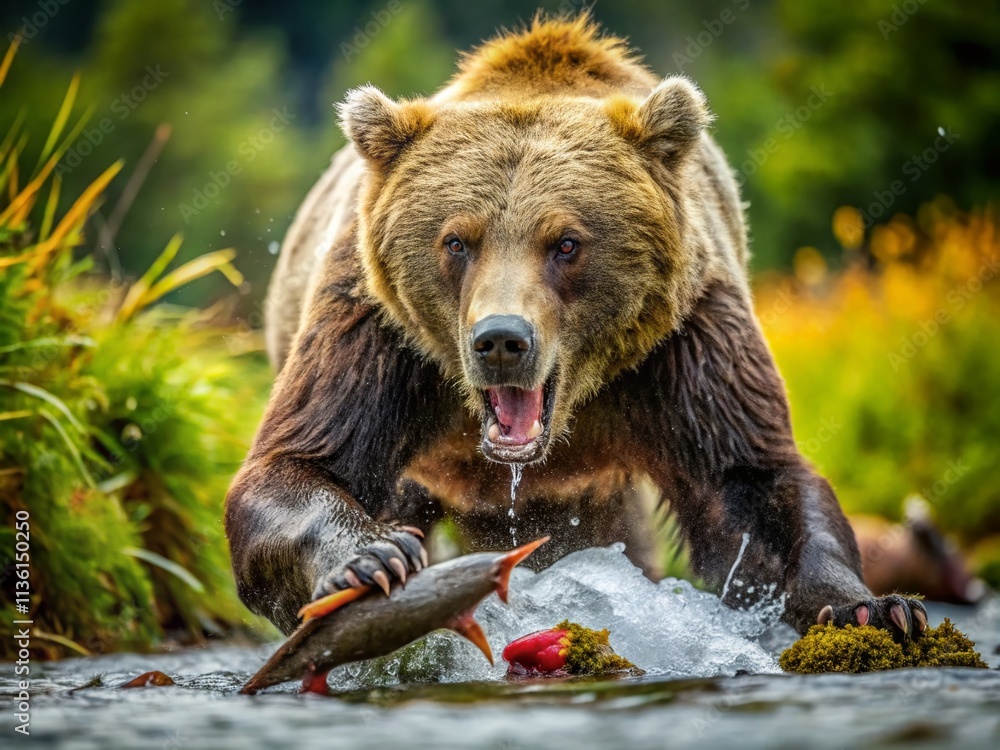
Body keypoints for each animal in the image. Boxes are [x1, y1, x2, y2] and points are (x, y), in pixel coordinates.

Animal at [226, 14, 927, 641]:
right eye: (455, 240)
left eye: (566, 242)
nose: (501, 341)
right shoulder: (378, 329)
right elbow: (295, 462)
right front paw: (371, 556)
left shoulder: (684, 341)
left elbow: (752, 484)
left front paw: (876, 606)